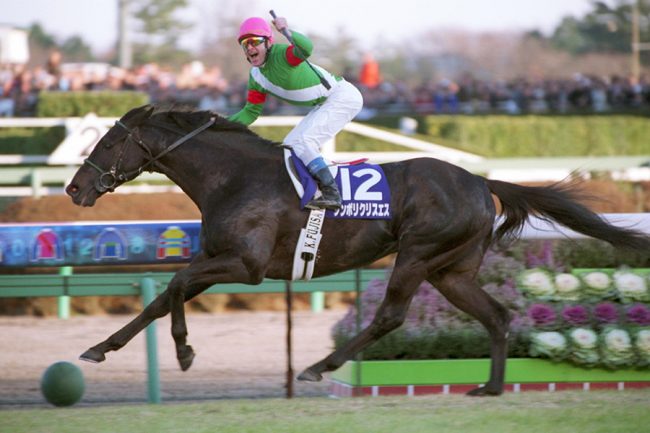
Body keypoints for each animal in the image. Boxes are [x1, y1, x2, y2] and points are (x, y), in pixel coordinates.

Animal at [65, 104, 650, 396]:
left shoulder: (246, 265)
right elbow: (161, 295)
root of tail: (481, 180)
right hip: (451, 271)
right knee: (497, 316)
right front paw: (99, 347)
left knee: (390, 316)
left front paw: (185, 351)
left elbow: (176, 285)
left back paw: (319, 367)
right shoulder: (216, 258)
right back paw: (490, 387)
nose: (73, 189)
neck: (232, 177)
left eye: (106, 141)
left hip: (417, 254)